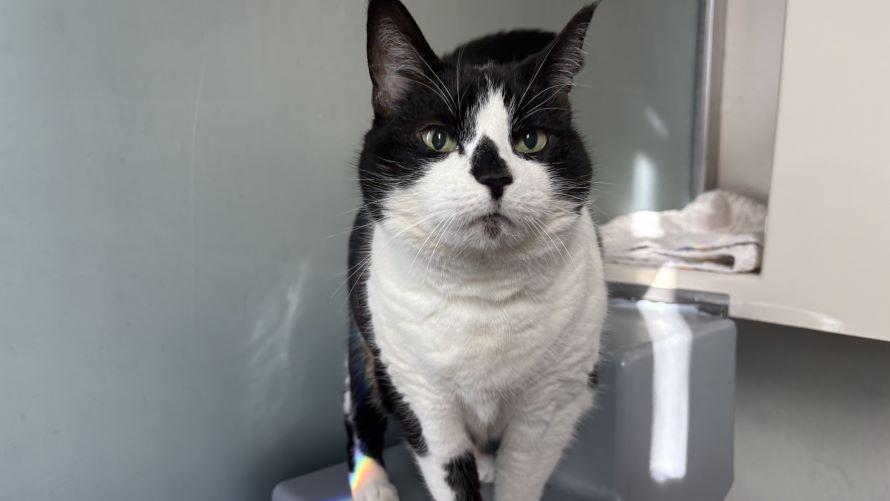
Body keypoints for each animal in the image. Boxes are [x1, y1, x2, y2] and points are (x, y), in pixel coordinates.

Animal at [343, 1, 607, 500]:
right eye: (437, 138)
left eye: (531, 140)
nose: (494, 175)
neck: (483, 292)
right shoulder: (420, 397)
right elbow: (450, 475)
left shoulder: (554, 402)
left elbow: (521, 477)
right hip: (366, 346)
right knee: (357, 401)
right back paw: (371, 483)